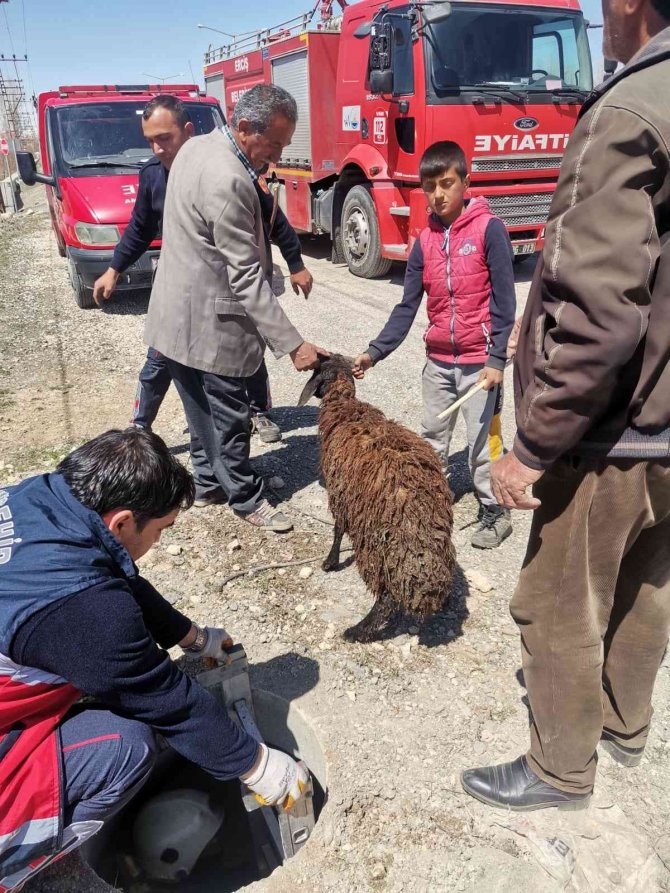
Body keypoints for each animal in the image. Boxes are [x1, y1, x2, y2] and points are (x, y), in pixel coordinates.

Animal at [300, 354, 456, 640]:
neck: (346, 405)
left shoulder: (341, 494)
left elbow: (338, 529)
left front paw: (330, 562)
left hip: (377, 548)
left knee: (386, 599)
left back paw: (358, 631)